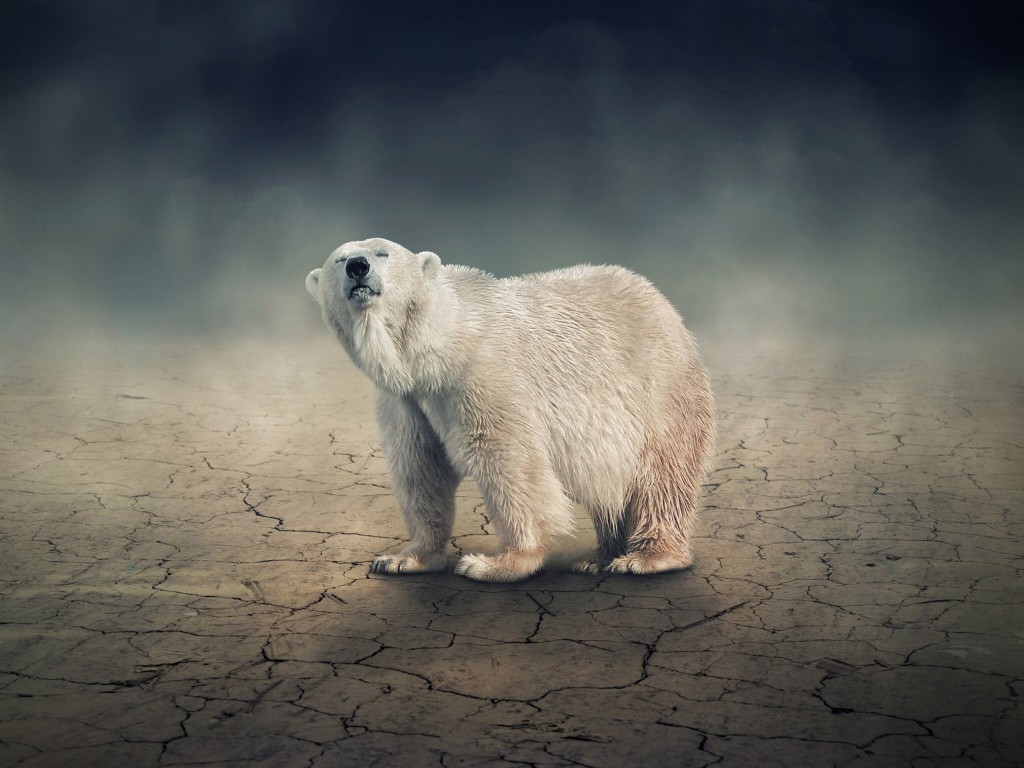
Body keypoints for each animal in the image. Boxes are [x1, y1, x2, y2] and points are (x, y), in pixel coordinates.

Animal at [306, 237, 716, 582]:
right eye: (339, 259)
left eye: (383, 253)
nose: (357, 267)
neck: (440, 344)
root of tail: (665, 307)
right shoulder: (406, 400)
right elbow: (420, 467)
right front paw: (404, 558)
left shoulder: (485, 374)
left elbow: (508, 460)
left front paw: (497, 563)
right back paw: (599, 557)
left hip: (658, 391)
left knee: (660, 476)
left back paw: (646, 558)